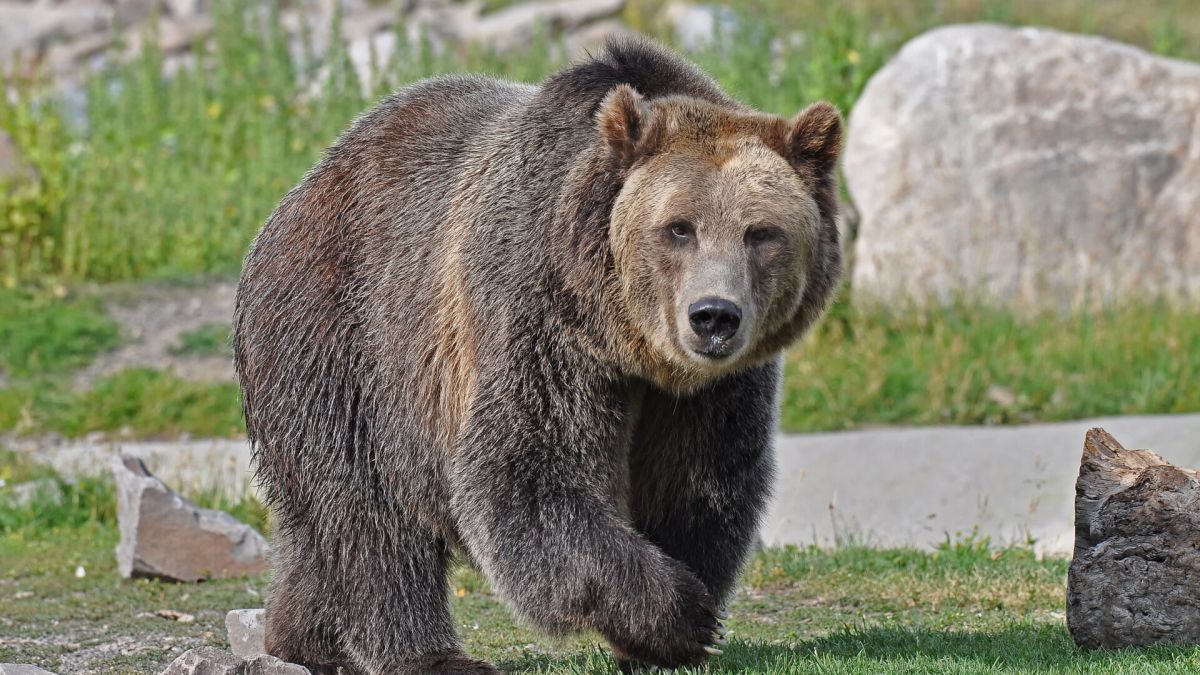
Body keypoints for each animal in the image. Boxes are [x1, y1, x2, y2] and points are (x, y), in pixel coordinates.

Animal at [233, 36, 842, 675]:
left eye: (762, 233)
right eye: (679, 228)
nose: (714, 317)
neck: (628, 340)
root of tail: (296, 196)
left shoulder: (714, 389)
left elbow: (701, 477)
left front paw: (670, 625)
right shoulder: (540, 313)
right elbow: (531, 469)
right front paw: (680, 616)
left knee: (318, 529)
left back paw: (303, 640)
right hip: (343, 337)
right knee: (368, 513)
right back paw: (426, 653)